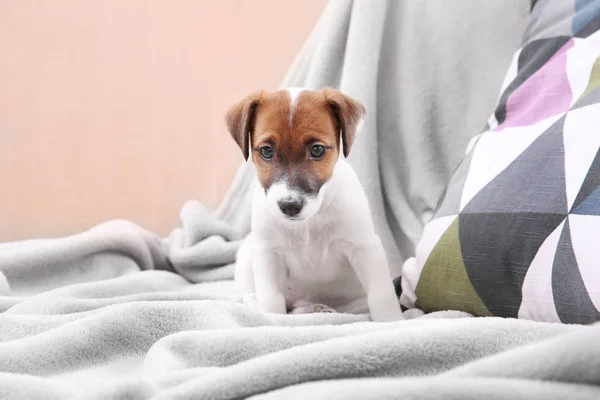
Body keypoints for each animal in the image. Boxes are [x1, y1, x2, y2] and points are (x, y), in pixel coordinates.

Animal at [225, 86, 404, 322]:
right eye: (266, 151)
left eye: (317, 150)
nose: (290, 206)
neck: (308, 223)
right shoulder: (268, 253)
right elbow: (271, 299)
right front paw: (272, 321)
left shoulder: (364, 247)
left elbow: (381, 294)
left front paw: (391, 320)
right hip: (248, 254)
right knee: (257, 296)